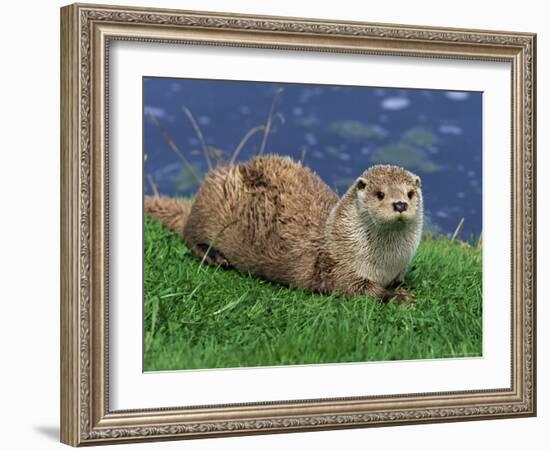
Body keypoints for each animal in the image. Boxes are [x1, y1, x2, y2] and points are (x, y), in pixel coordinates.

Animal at [144, 156, 424, 304]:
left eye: (410, 193)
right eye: (380, 194)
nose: (400, 203)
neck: (385, 263)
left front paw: (401, 287)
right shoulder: (339, 268)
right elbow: (358, 290)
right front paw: (399, 297)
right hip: (211, 203)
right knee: (189, 234)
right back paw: (214, 256)